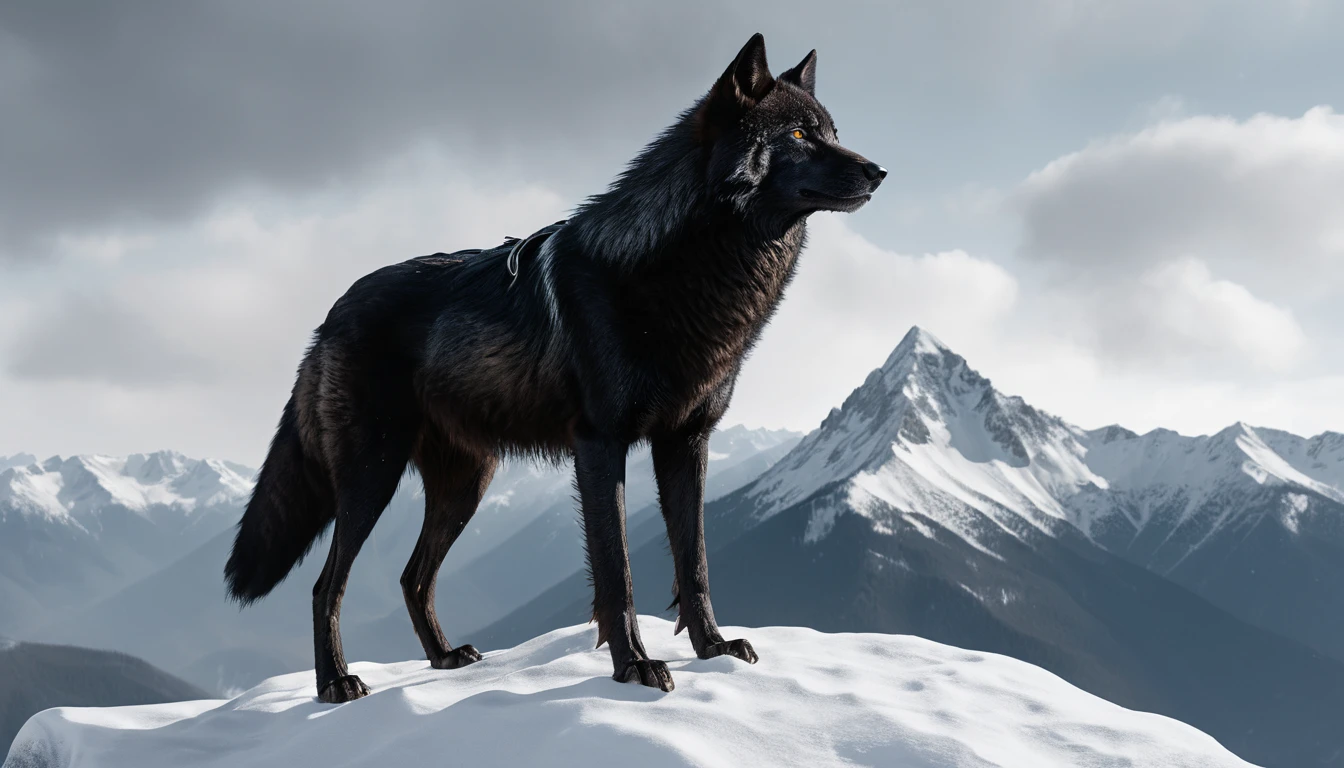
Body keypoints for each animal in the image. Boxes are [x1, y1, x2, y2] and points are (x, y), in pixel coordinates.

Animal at [224, 33, 885, 703]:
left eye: (832, 132)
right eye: (798, 135)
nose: (879, 171)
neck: (683, 270)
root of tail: (331, 312)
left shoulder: (686, 442)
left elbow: (694, 562)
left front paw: (713, 650)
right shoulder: (600, 445)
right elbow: (617, 573)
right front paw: (634, 667)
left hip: (466, 484)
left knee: (412, 577)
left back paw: (444, 658)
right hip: (371, 477)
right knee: (325, 585)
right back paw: (336, 681)